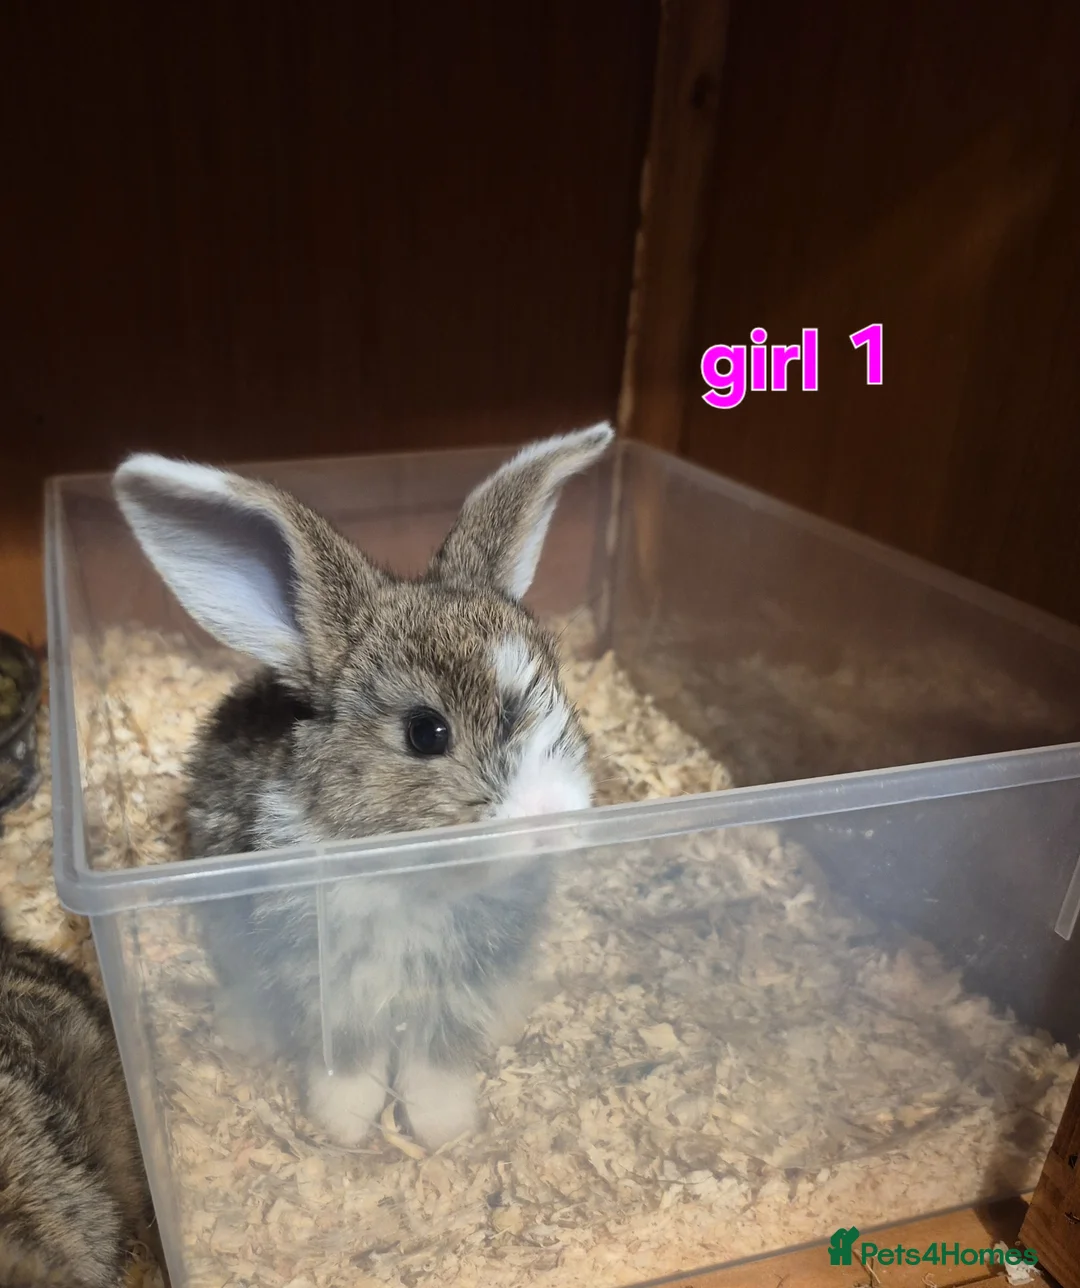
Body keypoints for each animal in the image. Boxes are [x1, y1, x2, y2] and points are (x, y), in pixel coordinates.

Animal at [112, 423, 613, 1150]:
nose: (552, 815)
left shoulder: (458, 984)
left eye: (560, 697)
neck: (415, 880)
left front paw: (442, 1125)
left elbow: (437, 1052)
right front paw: (346, 1122)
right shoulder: (322, 978)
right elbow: (347, 1053)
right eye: (426, 733)